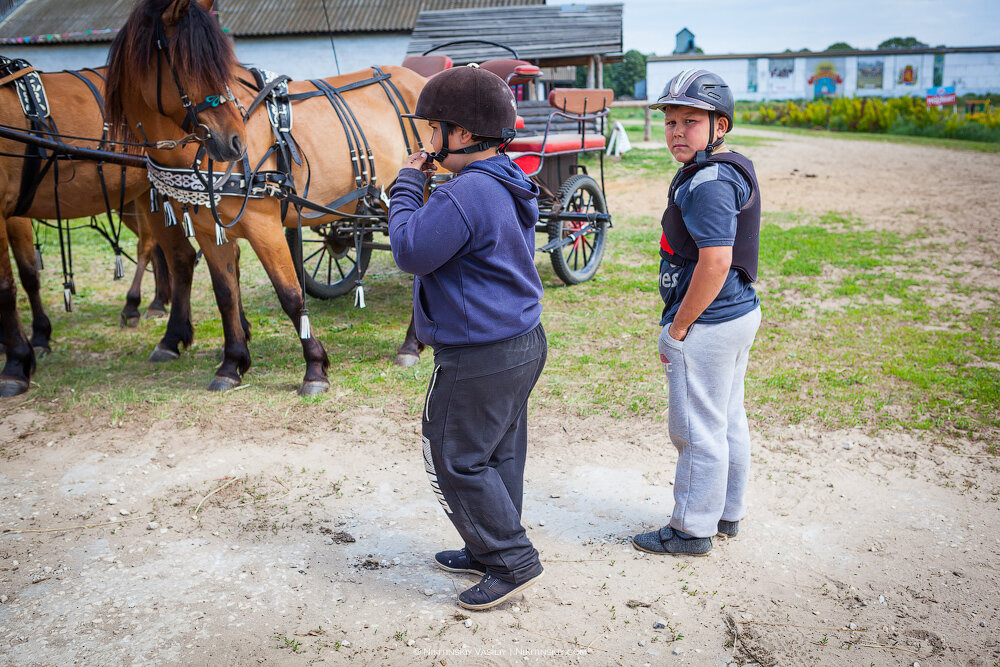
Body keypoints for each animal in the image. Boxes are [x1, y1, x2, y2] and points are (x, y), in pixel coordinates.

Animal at [0, 66, 170, 396]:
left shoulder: (8, 212)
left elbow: (19, 280)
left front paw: (21, 358)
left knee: (151, 245)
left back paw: (135, 305)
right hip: (137, 195)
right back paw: (158, 302)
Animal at [102, 0, 430, 396]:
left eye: (219, 65)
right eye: (185, 64)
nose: (234, 141)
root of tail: (424, 80)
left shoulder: (264, 225)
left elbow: (290, 293)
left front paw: (315, 368)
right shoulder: (210, 230)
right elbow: (226, 294)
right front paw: (231, 364)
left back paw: (411, 344)